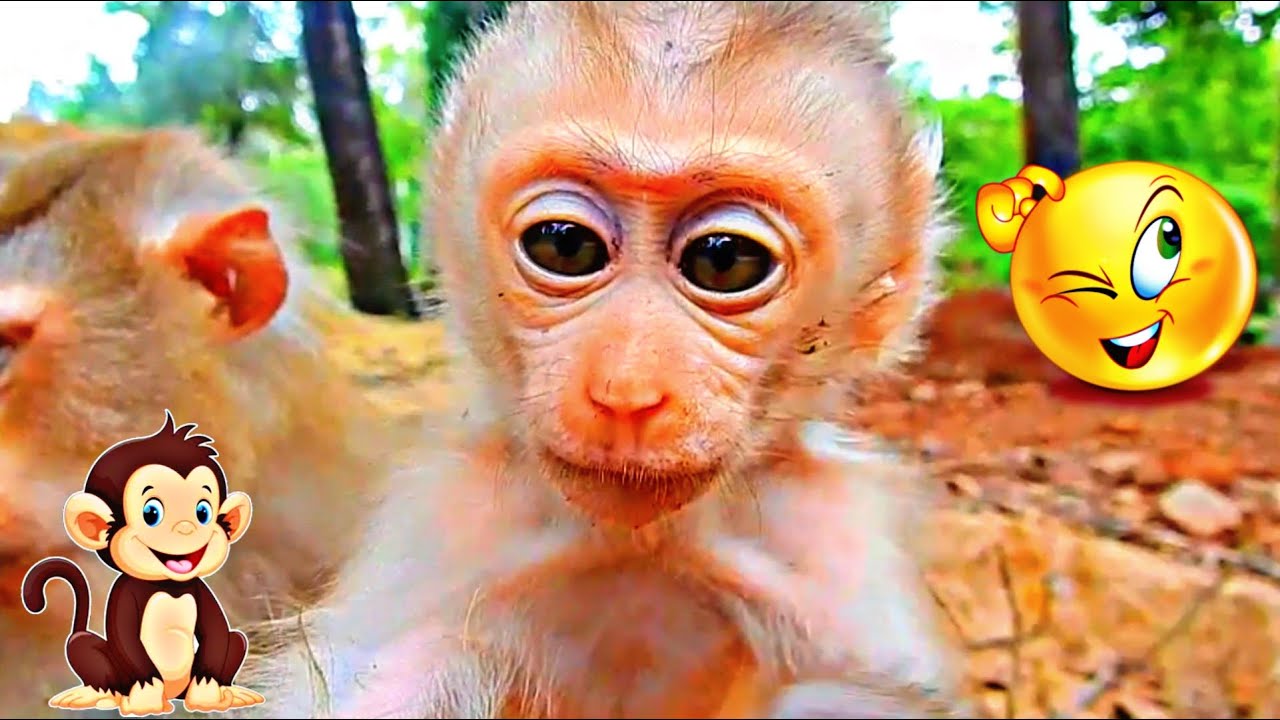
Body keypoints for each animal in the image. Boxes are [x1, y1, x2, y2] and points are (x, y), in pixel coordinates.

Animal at [22, 411, 266, 715]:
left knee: (236, 640)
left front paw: (207, 694)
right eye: (151, 512)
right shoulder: (125, 598)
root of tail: (175, 693)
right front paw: (145, 700)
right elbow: (129, 643)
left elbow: (218, 634)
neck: (168, 585)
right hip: (87, 651)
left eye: (203, 511)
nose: (185, 527)